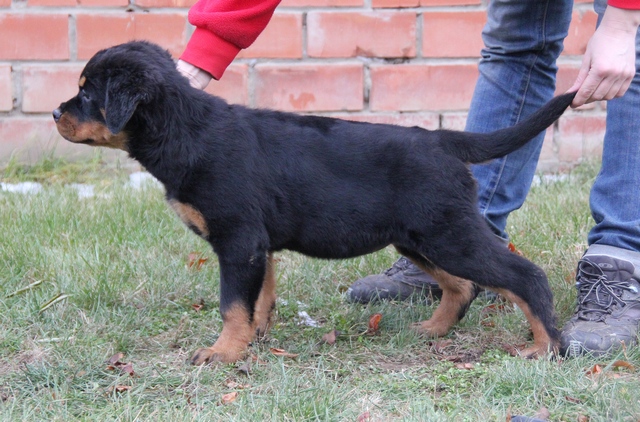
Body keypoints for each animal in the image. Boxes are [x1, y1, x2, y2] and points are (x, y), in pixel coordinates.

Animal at [53, 41, 576, 366]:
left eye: (87, 93)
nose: (56, 112)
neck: (185, 129)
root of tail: (442, 139)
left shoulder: (238, 240)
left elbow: (231, 304)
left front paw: (222, 353)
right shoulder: (257, 246)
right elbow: (259, 298)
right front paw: (255, 339)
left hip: (447, 233)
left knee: (524, 276)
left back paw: (545, 347)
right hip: (420, 237)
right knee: (463, 286)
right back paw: (434, 329)